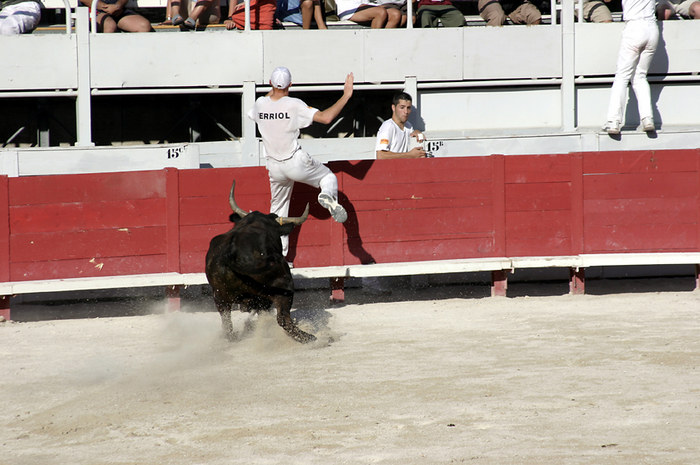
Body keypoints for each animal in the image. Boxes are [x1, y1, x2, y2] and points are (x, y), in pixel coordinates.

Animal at [201, 181, 314, 344]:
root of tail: (231, 255)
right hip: (282, 286)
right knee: (283, 319)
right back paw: (309, 337)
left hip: (220, 298)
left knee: (227, 326)